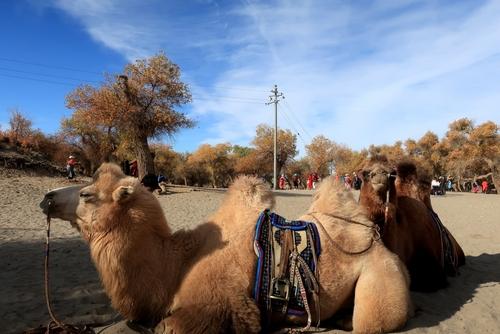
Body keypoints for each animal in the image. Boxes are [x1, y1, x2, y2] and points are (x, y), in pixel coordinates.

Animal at [41, 163, 410, 332]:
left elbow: (169, 326)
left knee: (370, 323)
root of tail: (377, 240)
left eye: (87, 194)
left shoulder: (219, 306)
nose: (47, 198)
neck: (176, 265)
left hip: (381, 278)